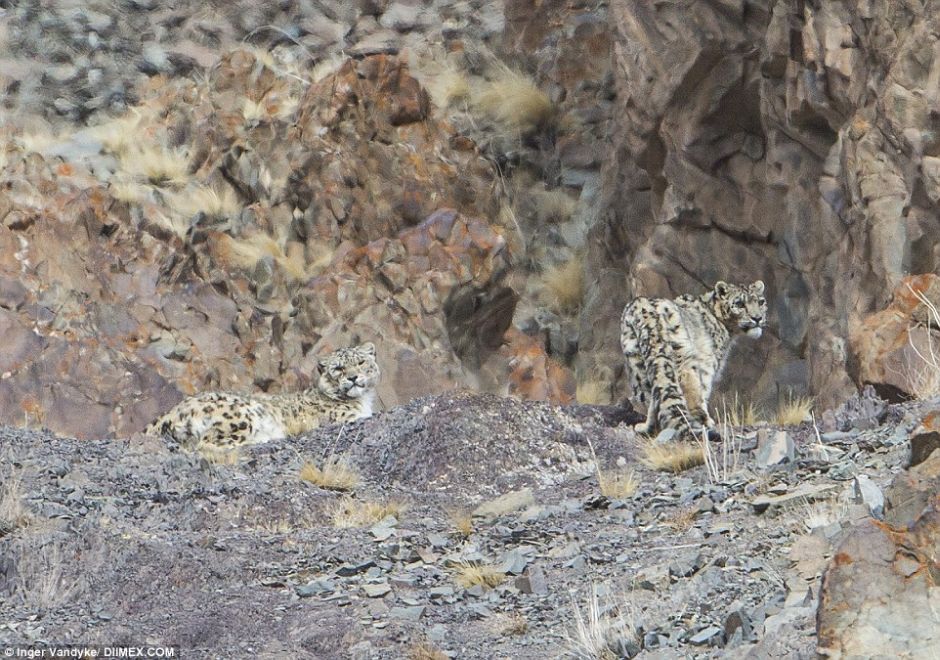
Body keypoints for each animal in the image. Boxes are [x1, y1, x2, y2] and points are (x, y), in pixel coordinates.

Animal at [145, 342, 380, 446]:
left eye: (361, 362)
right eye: (339, 368)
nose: (353, 378)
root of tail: (170, 412)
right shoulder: (345, 417)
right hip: (242, 415)